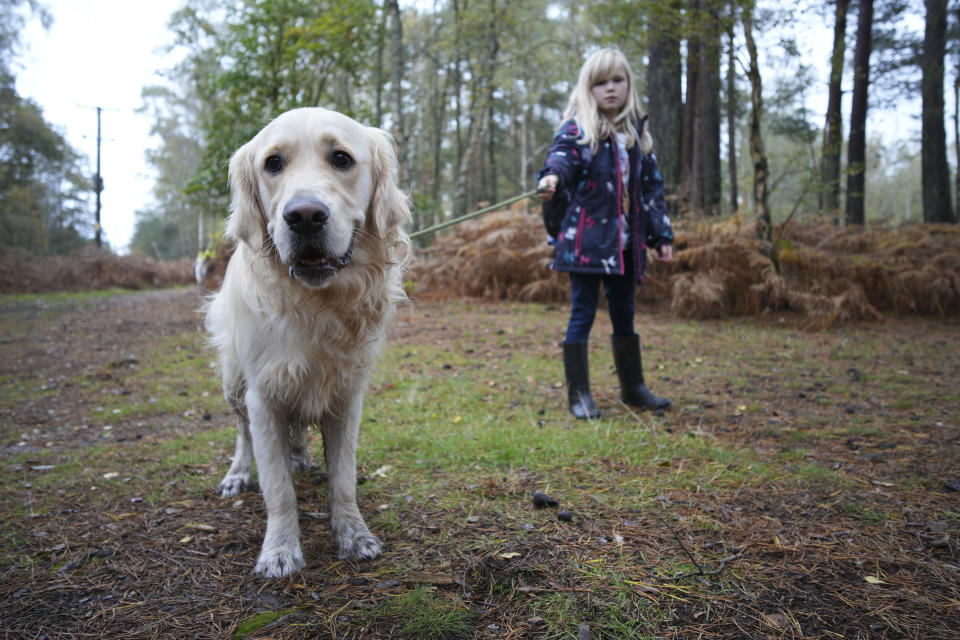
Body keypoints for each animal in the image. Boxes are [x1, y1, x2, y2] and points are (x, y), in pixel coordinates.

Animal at [206, 107, 408, 576]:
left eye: (341, 158)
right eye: (273, 163)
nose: (304, 216)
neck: (317, 305)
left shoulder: (347, 394)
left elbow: (344, 479)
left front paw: (353, 534)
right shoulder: (263, 395)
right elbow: (277, 486)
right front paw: (280, 549)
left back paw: (298, 454)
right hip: (233, 381)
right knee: (242, 432)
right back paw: (238, 472)